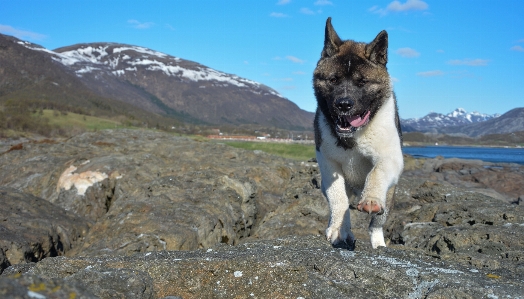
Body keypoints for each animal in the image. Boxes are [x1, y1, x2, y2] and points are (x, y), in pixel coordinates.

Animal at [314, 17, 404, 250]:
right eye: (333, 80)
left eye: (362, 82)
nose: (344, 104)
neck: (354, 135)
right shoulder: (329, 165)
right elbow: (338, 199)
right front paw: (339, 230)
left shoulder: (390, 157)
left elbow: (377, 171)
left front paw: (371, 199)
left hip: (390, 197)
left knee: (376, 224)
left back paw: (379, 243)